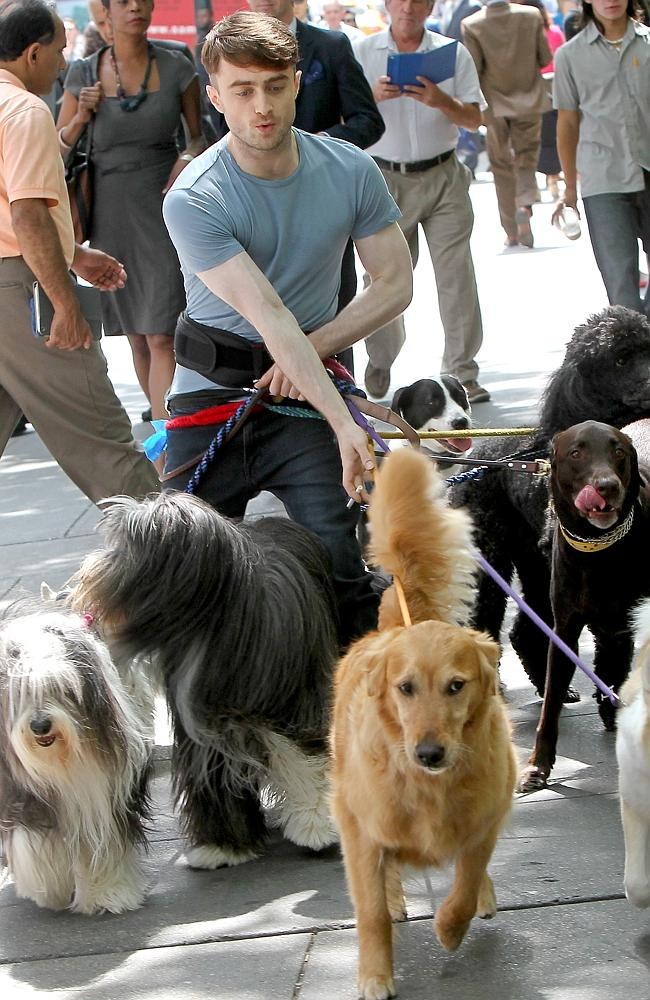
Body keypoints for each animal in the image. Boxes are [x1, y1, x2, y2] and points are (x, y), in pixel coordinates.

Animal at [0, 604, 153, 912]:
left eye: (61, 688)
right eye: (20, 693)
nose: (40, 726)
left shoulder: (106, 791)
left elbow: (105, 844)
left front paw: (109, 892)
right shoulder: (20, 794)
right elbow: (32, 841)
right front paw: (50, 888)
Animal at [73, 492, 340, 868]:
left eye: (128, 547)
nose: (86, 570)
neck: (218, 626)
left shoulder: (295, 707)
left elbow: (300, 760)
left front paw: (315, 826)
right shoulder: (204, 729)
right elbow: (212, 775)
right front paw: (222, 847)